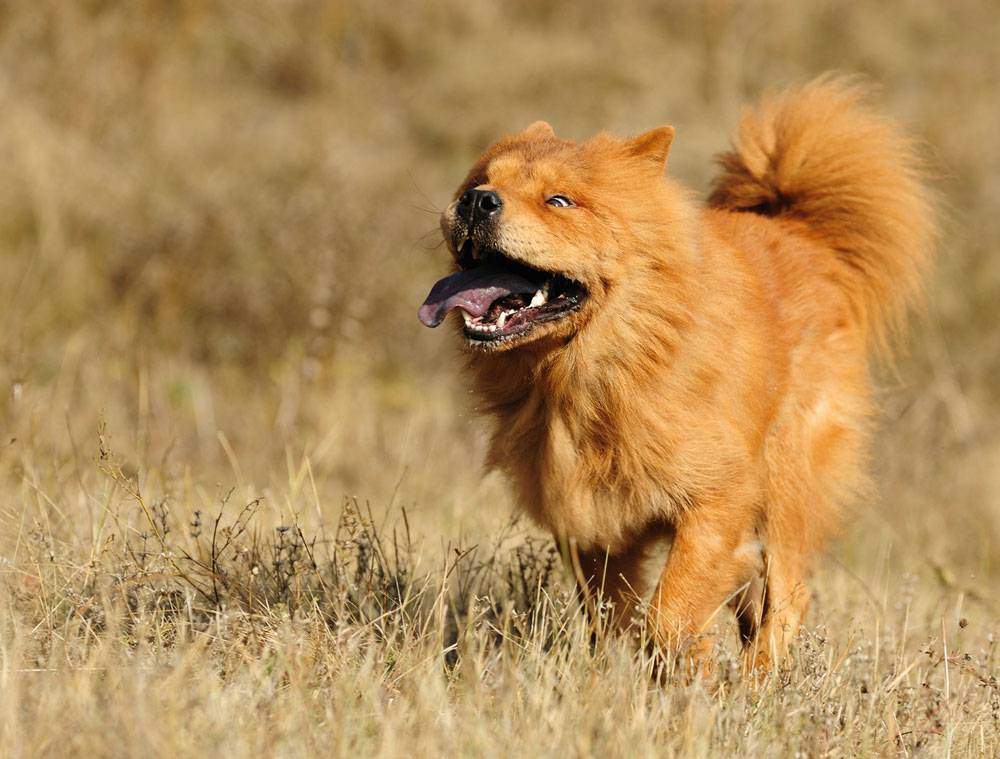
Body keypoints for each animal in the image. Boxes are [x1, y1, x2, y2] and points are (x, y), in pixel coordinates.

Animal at [416, 75, 936, 672]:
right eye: (478, 182)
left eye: (559, 201)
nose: (476, 201)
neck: (592, 373)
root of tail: (801, 234)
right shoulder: (594, 524)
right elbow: (617, 617)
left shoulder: (718, 499)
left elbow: (672, 610)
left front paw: (692, 675)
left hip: (788, 485)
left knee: (788, 597)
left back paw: (760, 684)